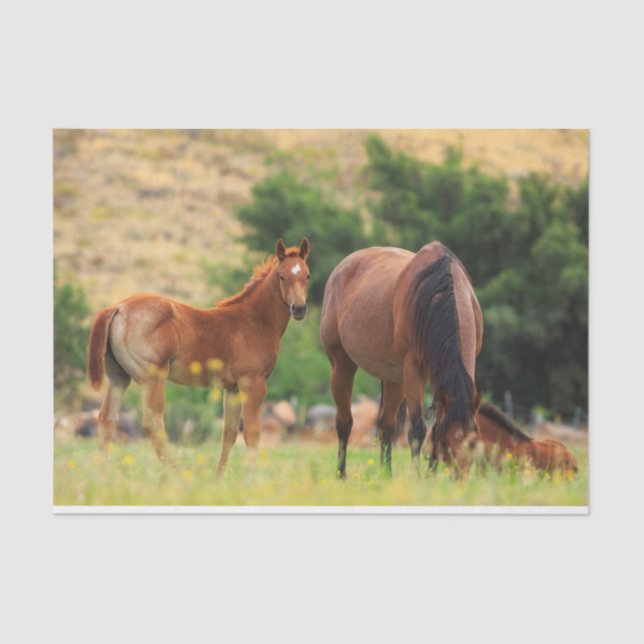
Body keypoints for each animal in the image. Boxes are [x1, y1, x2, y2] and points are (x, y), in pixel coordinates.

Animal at [87, 238, 311, 474]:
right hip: (153, 378)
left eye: (307, 275)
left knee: (107, 418)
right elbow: (252, 433)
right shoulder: (253, 383)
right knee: (153, 424)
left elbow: (229, 433)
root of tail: (118, 307)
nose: (299, 308)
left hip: (119, 377)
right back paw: (175, 473)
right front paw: (251, 476)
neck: (254, 321)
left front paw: (219, 476)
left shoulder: (231, 388)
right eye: (282, 276)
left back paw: (102, 473)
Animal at [320, 241, 483, 477]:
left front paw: (430, 476)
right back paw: (341, 475)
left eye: (473, 443)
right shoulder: (414, 368)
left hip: (394, 378)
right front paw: (418, 478)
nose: (458, 478)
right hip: (342, 364)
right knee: (344, 422)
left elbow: (432, 425)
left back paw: (386, 476)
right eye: (446, 443)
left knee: (386, 426)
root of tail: (340, 269)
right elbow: (417, 430)